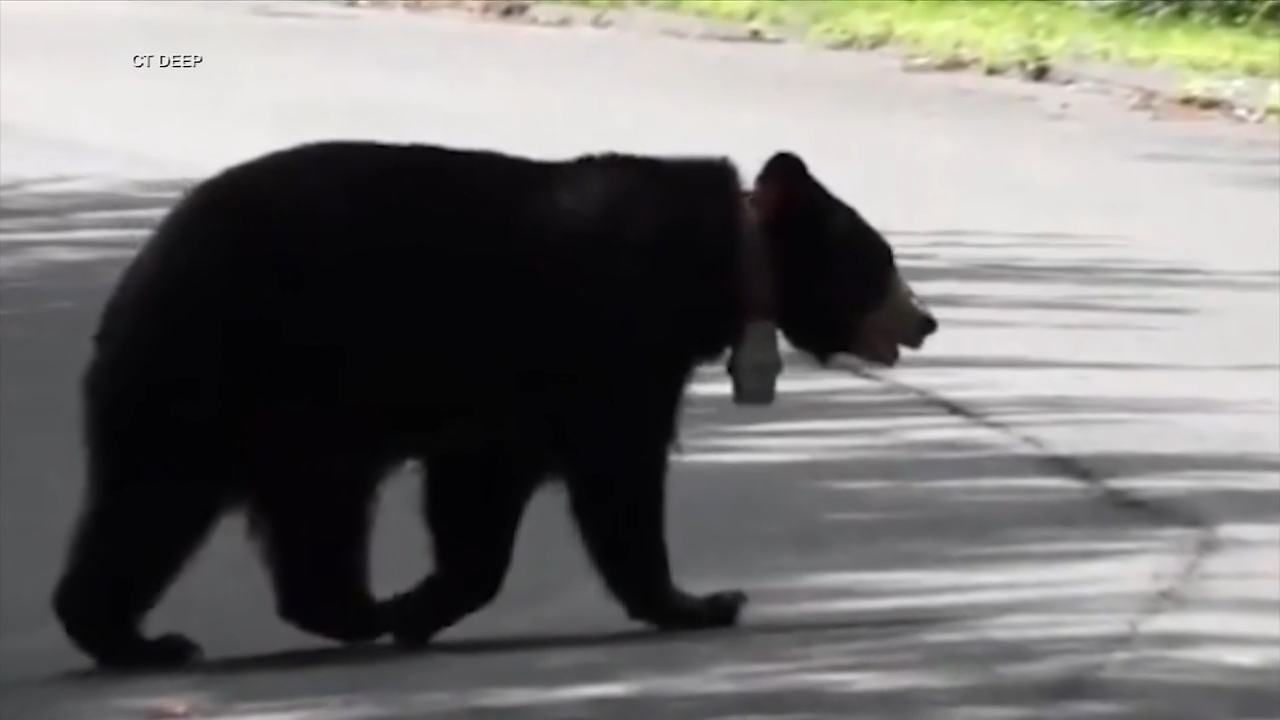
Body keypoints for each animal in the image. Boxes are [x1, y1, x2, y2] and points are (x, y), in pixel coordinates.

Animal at [50, 141, 938, 670]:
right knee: (161, 497)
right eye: (883, 260)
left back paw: (335, 611)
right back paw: (151, 637)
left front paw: (424, 602)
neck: (718, 261)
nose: (925, 320)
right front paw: (701, 601)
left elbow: (483, 488)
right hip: (235, 369)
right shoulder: (607, 341)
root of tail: (149, 259)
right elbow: (616, 478)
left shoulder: (534, 392)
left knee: (282, 511)